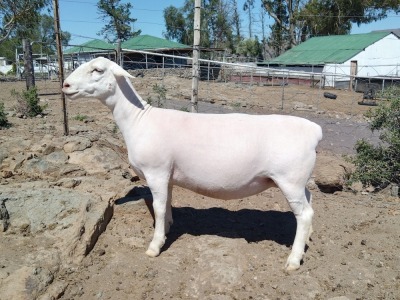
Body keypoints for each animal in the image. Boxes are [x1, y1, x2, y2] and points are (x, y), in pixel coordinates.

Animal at [63, 56, 324, 272]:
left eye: (97, 70)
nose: (65, 85)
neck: (138, 120)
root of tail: (314, 131)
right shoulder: (167, 174)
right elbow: (167, 203)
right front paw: (167, 228)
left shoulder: (156, 172)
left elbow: (158, 207)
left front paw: (155, 245)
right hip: (299, 181)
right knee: (310, 202)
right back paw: (307, 239)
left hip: (289, 179)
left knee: (304, 214)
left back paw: (293, 260)